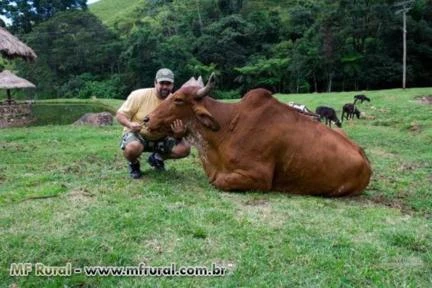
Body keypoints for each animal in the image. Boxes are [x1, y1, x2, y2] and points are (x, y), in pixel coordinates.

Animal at [144, 73, 372, 198]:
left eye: (178, 99)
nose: (146, 119)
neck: (226, 129)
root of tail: (365, 159)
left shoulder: (259, 177)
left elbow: (220, 180)